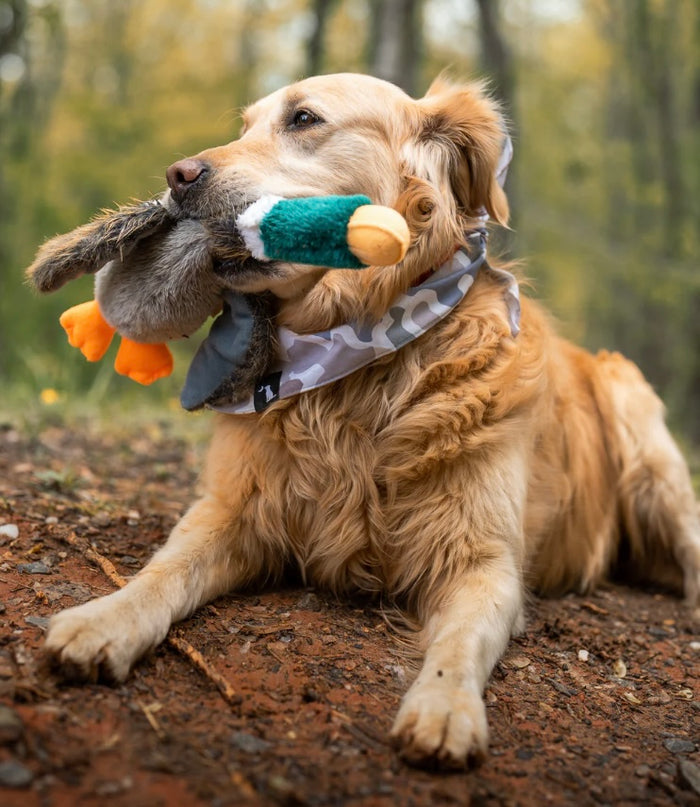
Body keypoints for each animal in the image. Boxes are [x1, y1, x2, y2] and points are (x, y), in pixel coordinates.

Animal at [42, 72, 700, 768]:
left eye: (304, 118)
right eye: (244, 125)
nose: (177, 175)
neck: (352, 369)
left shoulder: (484, 562)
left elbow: (458, 644)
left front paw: (443, 707)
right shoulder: (230, 508)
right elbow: (162, 572)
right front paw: (105, 619)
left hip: (639, 420)